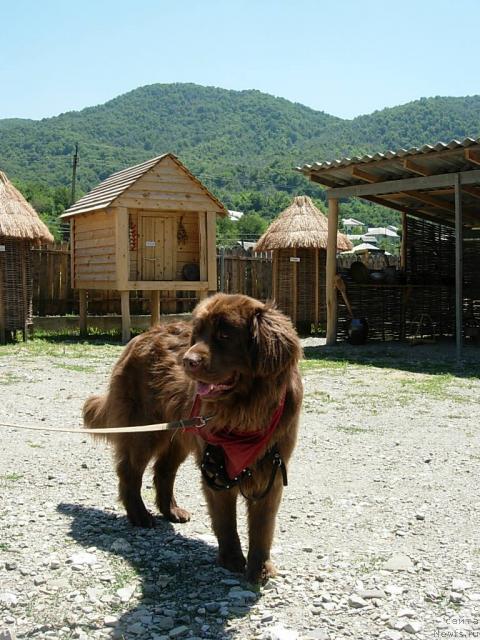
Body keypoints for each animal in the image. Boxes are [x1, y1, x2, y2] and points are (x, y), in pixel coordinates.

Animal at [82, 292, 300, 584]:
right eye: (198, 335)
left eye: (225, 335)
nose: (188, 361)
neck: (244, 414)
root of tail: (141, 336)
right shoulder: (216, 468)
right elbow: (226, 521)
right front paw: (232, 560)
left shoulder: (271, 468)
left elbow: (263, 526)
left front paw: (260, 569)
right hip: (144, 429)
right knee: (130, 471)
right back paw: (140, 515)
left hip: (178, 433)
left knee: (163, 470)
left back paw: (171, 511)